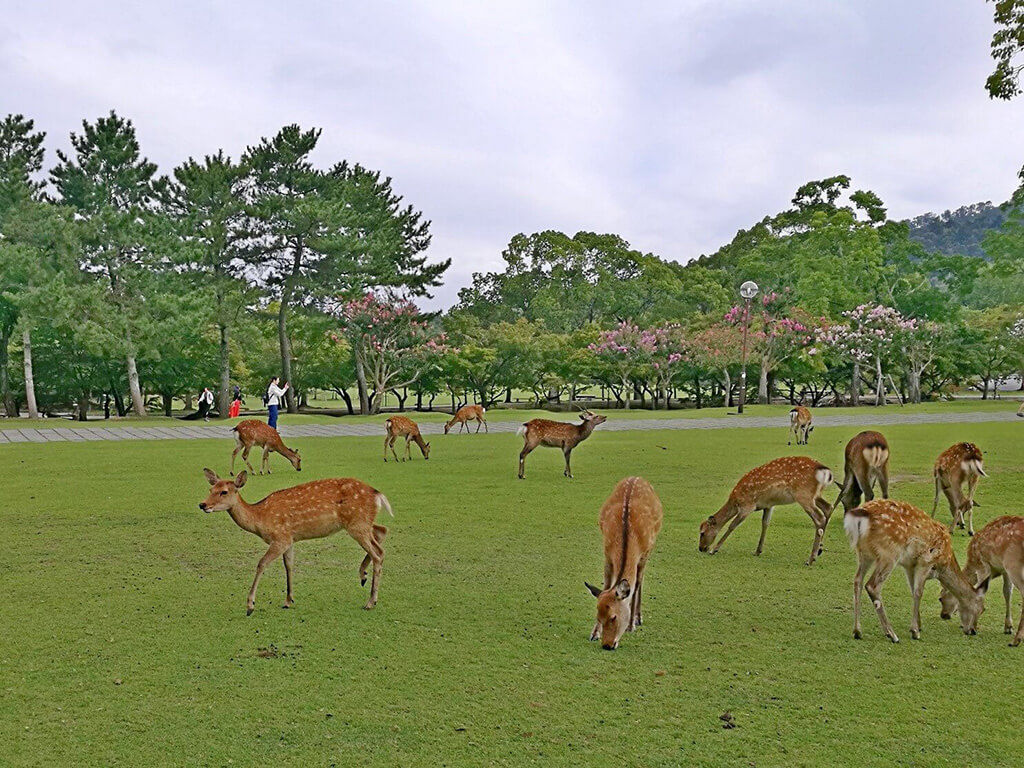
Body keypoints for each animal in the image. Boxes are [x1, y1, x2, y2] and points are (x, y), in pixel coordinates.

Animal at [198, 468, 391, 614]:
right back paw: (363, 576)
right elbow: (289, 565)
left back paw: (370, 601)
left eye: (224, 492)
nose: (202, 504)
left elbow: (261, 564)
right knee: (382, 532)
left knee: (378, 553)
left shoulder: (280, 538)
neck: (260, 519)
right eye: (210, 490)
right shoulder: (290, 539)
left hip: (357, 523)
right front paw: (288, 600)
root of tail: (378, 494)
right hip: (361, 522)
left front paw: (250, 605)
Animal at [585, 479, 663, 651]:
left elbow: (635, 587)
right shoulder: (607, 555)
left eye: (614, 617)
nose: (607, 645)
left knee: (640, 582)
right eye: (598, 615)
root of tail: (636, 477)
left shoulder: (643, 556)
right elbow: (607, 585)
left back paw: (638, 618)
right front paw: (594, 633)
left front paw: (631, 625)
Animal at [700, 456, 835, 565]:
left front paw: (714, 549)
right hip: (815, 495)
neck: (735, 501)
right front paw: (757, 551)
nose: (701, 548)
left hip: (803, 494)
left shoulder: (747, 506)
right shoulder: (769, 505)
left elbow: (732, 525)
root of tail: (824, 471)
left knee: (819, 518)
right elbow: (765, 523)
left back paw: (810, 559)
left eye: (702, 532)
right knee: (828, 508)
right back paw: (819, 550)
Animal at [843, 499, 987, 643]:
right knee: (872, 586)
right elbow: (918, 593)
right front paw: (915, 631)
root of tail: (861, 515)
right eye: (981, 609)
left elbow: (913, 591)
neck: (944, 564)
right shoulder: (926, 562)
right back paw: (892, 635)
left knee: (857, 581)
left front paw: (918, 625)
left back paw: (857, 631)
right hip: (889, 553)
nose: (973, 630)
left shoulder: (910, 566)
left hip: (864, 553)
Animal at [937, 514, 1024, 647]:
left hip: (1014, 565)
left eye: (940, 599)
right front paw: (1008, 627)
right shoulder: (1004, 570)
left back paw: (1016, 640)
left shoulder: (983, 565)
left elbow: (979, 590)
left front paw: (972, 626)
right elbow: (1007, 592)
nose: (943, 615)